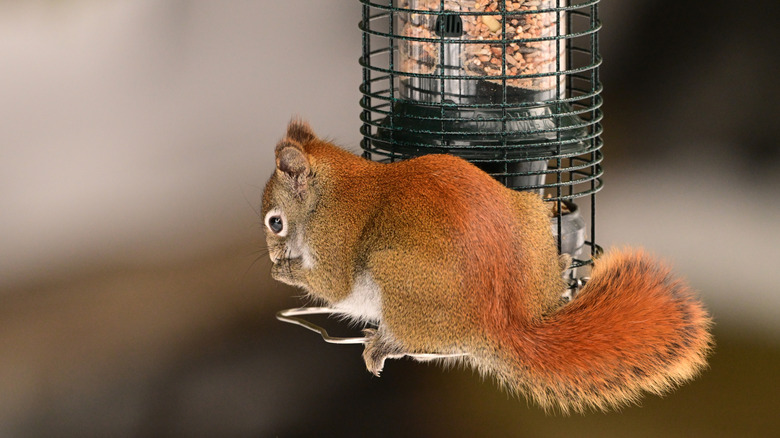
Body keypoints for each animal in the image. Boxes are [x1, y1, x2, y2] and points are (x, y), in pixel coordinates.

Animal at [262, 120, 713, 413]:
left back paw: (385, 344)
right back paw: (563, 262)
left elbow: (333, 286)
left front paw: (283, 270)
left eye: (275, 222)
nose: (270, 255)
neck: (332, 189)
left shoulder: (333, 238)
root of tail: (502, 320)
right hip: (529, 217)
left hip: (395, 274)